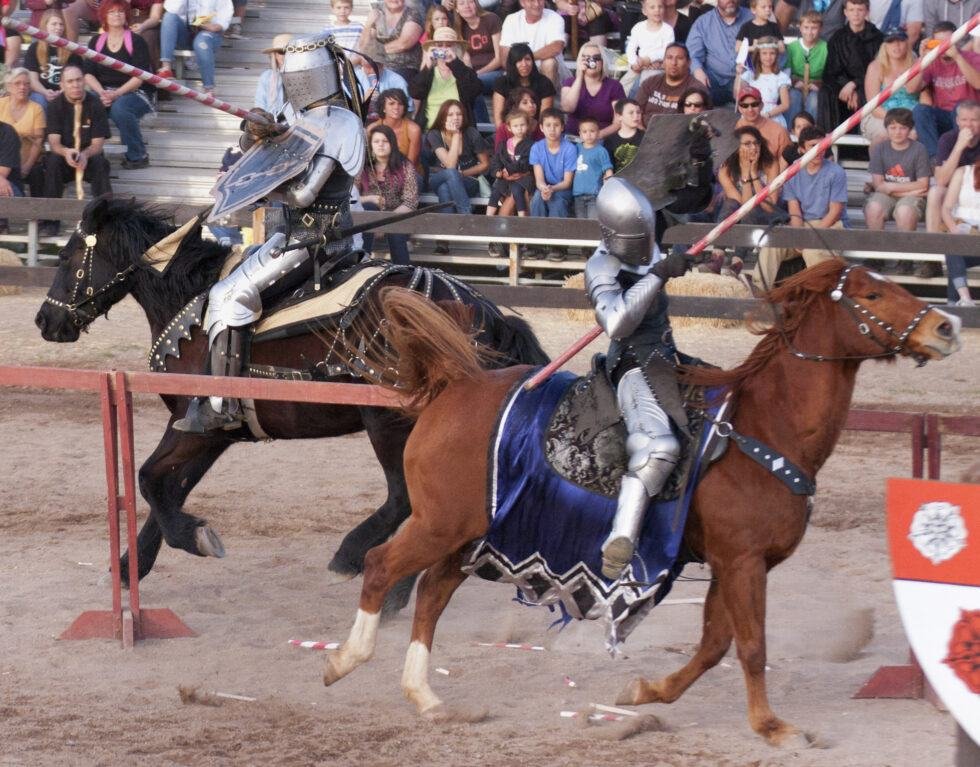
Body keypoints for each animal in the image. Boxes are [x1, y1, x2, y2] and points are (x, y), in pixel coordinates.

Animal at [36, 201, 552, 608]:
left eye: (64, 257)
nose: (45, 320)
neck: (191, 304)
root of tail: (484, 312)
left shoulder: (192, 425)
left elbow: (148, 480)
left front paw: (192, 540)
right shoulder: (209, 432)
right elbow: (167, 489)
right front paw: (132, 568)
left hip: (389, 422)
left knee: (405, 498)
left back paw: (356, 562)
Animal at [324, 260, 964, 744]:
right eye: (872, 293)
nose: (946, 326)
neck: (766, 425)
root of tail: (453, 384)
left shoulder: (729, 563)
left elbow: (714, 643)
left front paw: (647, 691)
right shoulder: (742, 561)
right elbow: (751, 645)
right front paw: (772, 726)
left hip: (467, 535)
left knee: (431, 593)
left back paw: (427, 698)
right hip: (440, 523)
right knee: (382, 566)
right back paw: (345, 659)